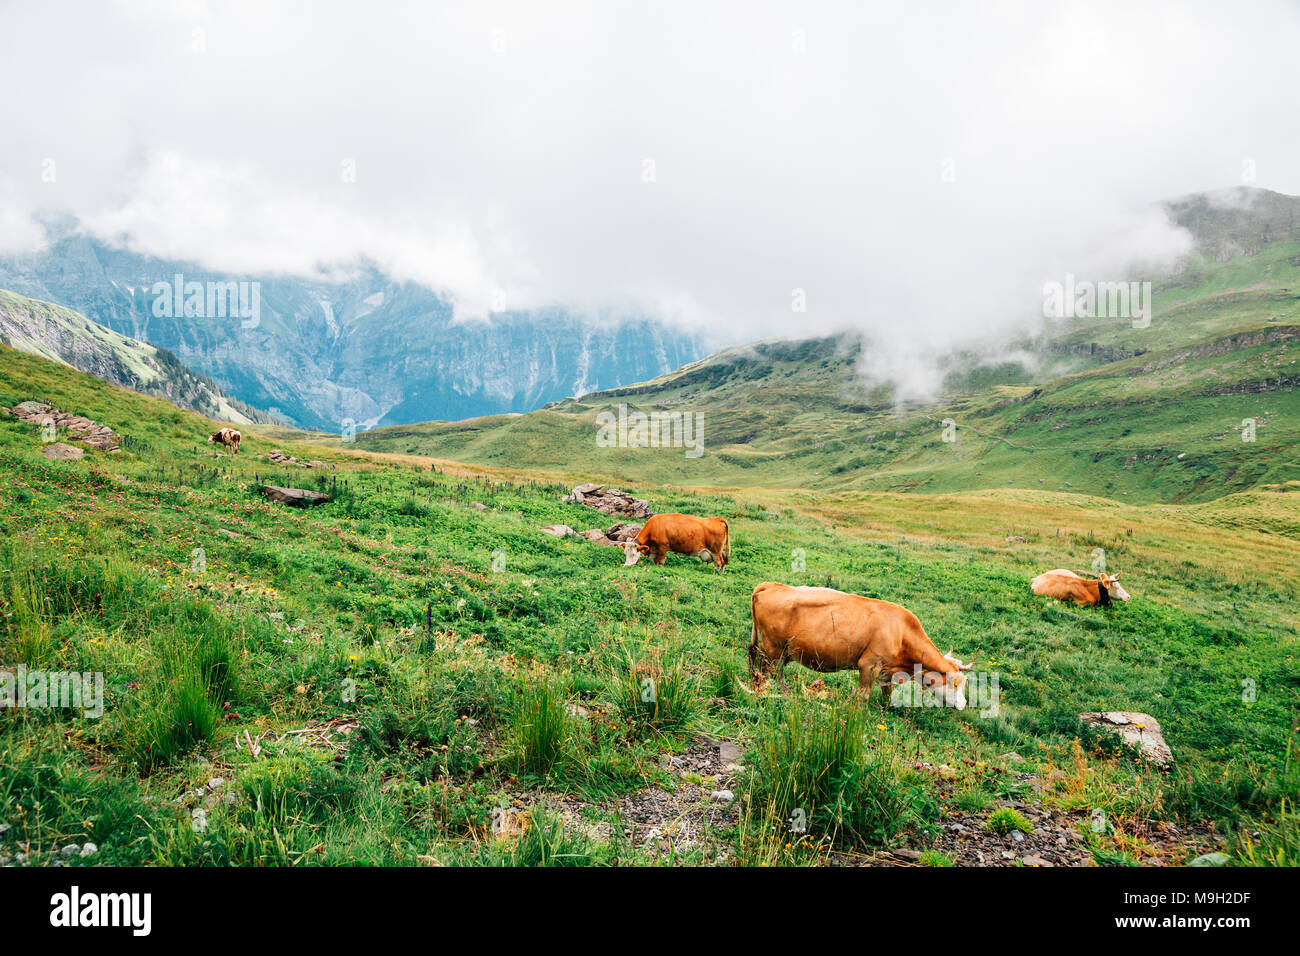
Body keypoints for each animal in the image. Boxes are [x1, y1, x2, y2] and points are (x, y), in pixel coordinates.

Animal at [748, 582, 972, 707]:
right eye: (955, 684)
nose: (964, 703)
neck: (901, 632)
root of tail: (771, 585)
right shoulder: (869, 665)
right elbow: (863, 695)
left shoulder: (886, 671)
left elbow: (887, 692)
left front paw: (887, 709)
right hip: (773, 649)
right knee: (771, 672)